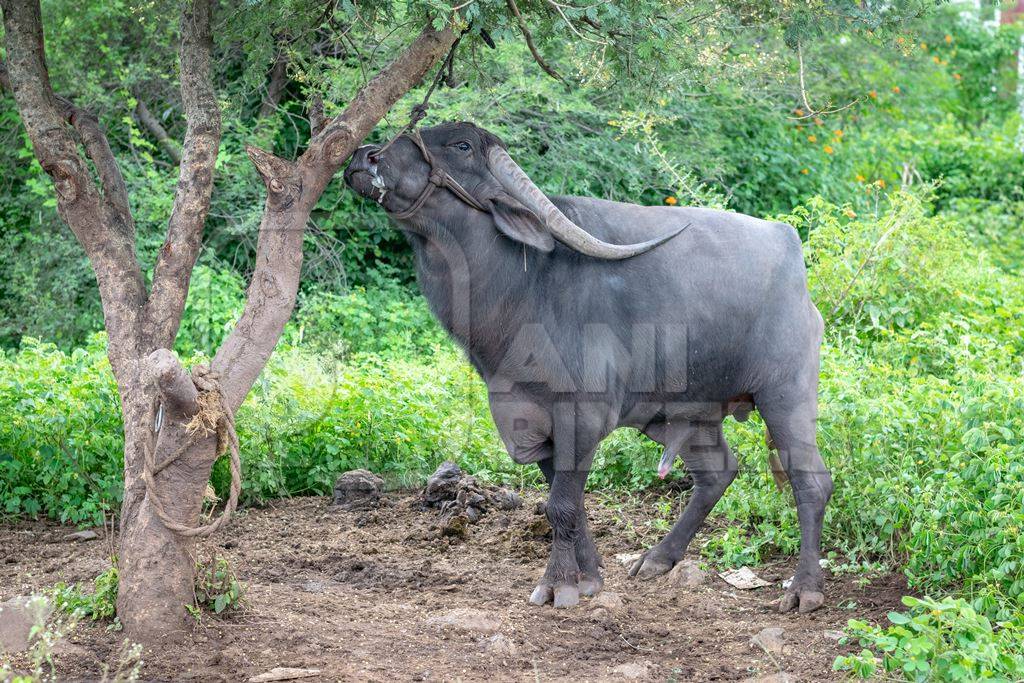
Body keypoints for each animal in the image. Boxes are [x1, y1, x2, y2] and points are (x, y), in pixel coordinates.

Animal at [344, 121, 831, 614]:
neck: (524, 289)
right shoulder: (530, 420)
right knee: (718, 471)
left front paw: (558, 585)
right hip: (680, 412)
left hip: (786, 395)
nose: (364, 157)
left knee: (811, 481)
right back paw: (658, 557)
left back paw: (803, 589)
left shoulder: (581, 416)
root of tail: (791, 253)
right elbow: (570, 504)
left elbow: (560, 505)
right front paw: (590, 577)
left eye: (461, 145)